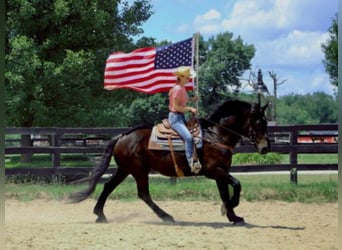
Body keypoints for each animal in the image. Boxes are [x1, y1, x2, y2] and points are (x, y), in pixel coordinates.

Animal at [70, 98, 270, 224]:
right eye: (259, 122)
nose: (265, 147)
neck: (215, 136)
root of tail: (122, 136)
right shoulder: (213, 171)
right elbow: (237, 184)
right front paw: (229, 209)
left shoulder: (221, 172)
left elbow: (225, 193)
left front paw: (233, 216)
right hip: (138, 170)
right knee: (143, 194)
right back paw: (166, 216)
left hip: (125, 169)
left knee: (108, 186)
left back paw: (100, 215)